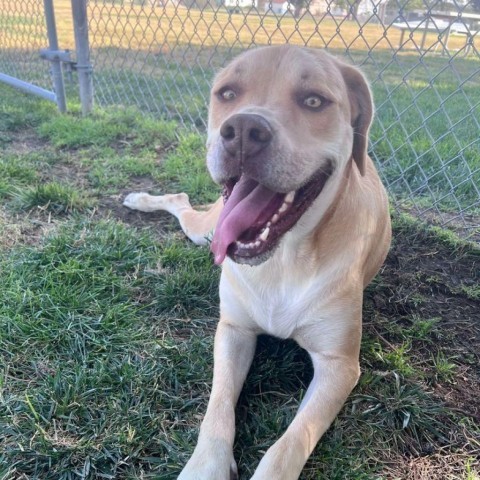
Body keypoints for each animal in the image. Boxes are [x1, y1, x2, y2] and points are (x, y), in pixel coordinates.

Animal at [123, 44, 390, 476]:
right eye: (228, 93)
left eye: (314, 100)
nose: (244, 130)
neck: (283, 259)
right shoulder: (233, 330)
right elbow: (217, 408)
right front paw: (205, 466)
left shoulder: (339, 365)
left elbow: (291, 441)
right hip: (206, 229)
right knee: (180, 201)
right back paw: (139, 199)